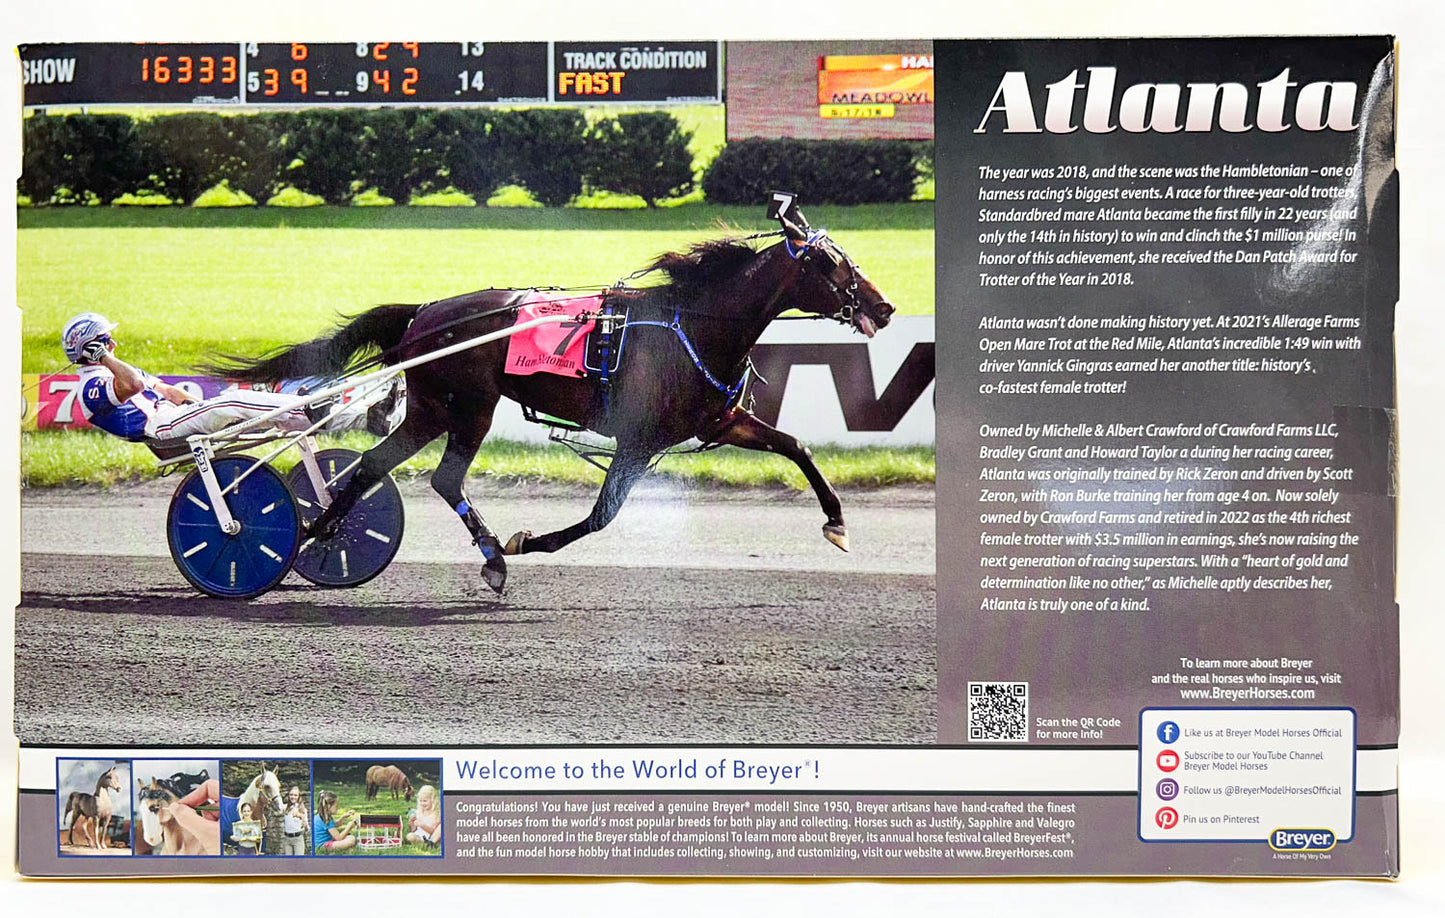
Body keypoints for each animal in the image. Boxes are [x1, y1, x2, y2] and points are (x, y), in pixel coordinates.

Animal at [208, 203, 895, 594]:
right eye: (831, 263)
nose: (886, 307)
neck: (694, 323)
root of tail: (424, 312)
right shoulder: (639, 439)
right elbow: (601, 517)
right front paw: (525, 543)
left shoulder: (719, 422)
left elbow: (796, 446)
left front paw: (837, 523)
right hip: (468, 406)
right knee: (443, 477)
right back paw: (489, 554)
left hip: (434, 408)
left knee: (381, 465)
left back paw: (324, 530)